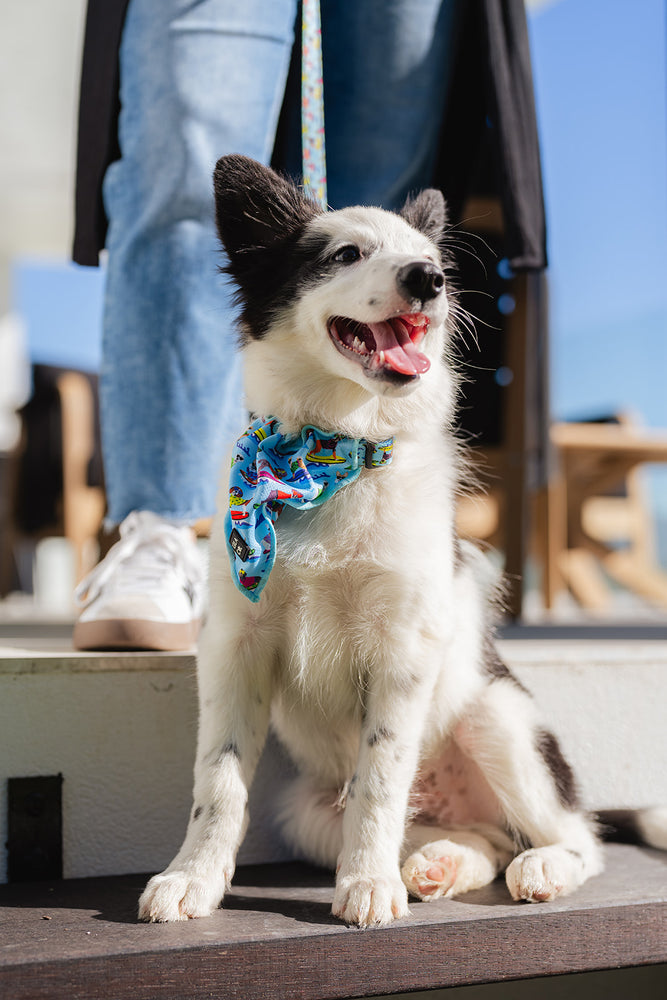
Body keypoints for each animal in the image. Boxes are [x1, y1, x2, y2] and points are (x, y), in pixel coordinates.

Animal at [138, 156, 664, 928]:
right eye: (344, 255)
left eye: (430, 261)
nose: (430, 280)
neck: (333, 453)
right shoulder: (235, 645)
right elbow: (220, 780)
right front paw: (192, 877)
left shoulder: (403, 648)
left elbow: (381, 777)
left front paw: (367, 885)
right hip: (305, 811)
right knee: (481, 839)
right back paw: (440, 861)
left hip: (498, 717)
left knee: (577, 839)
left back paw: (537, 866)